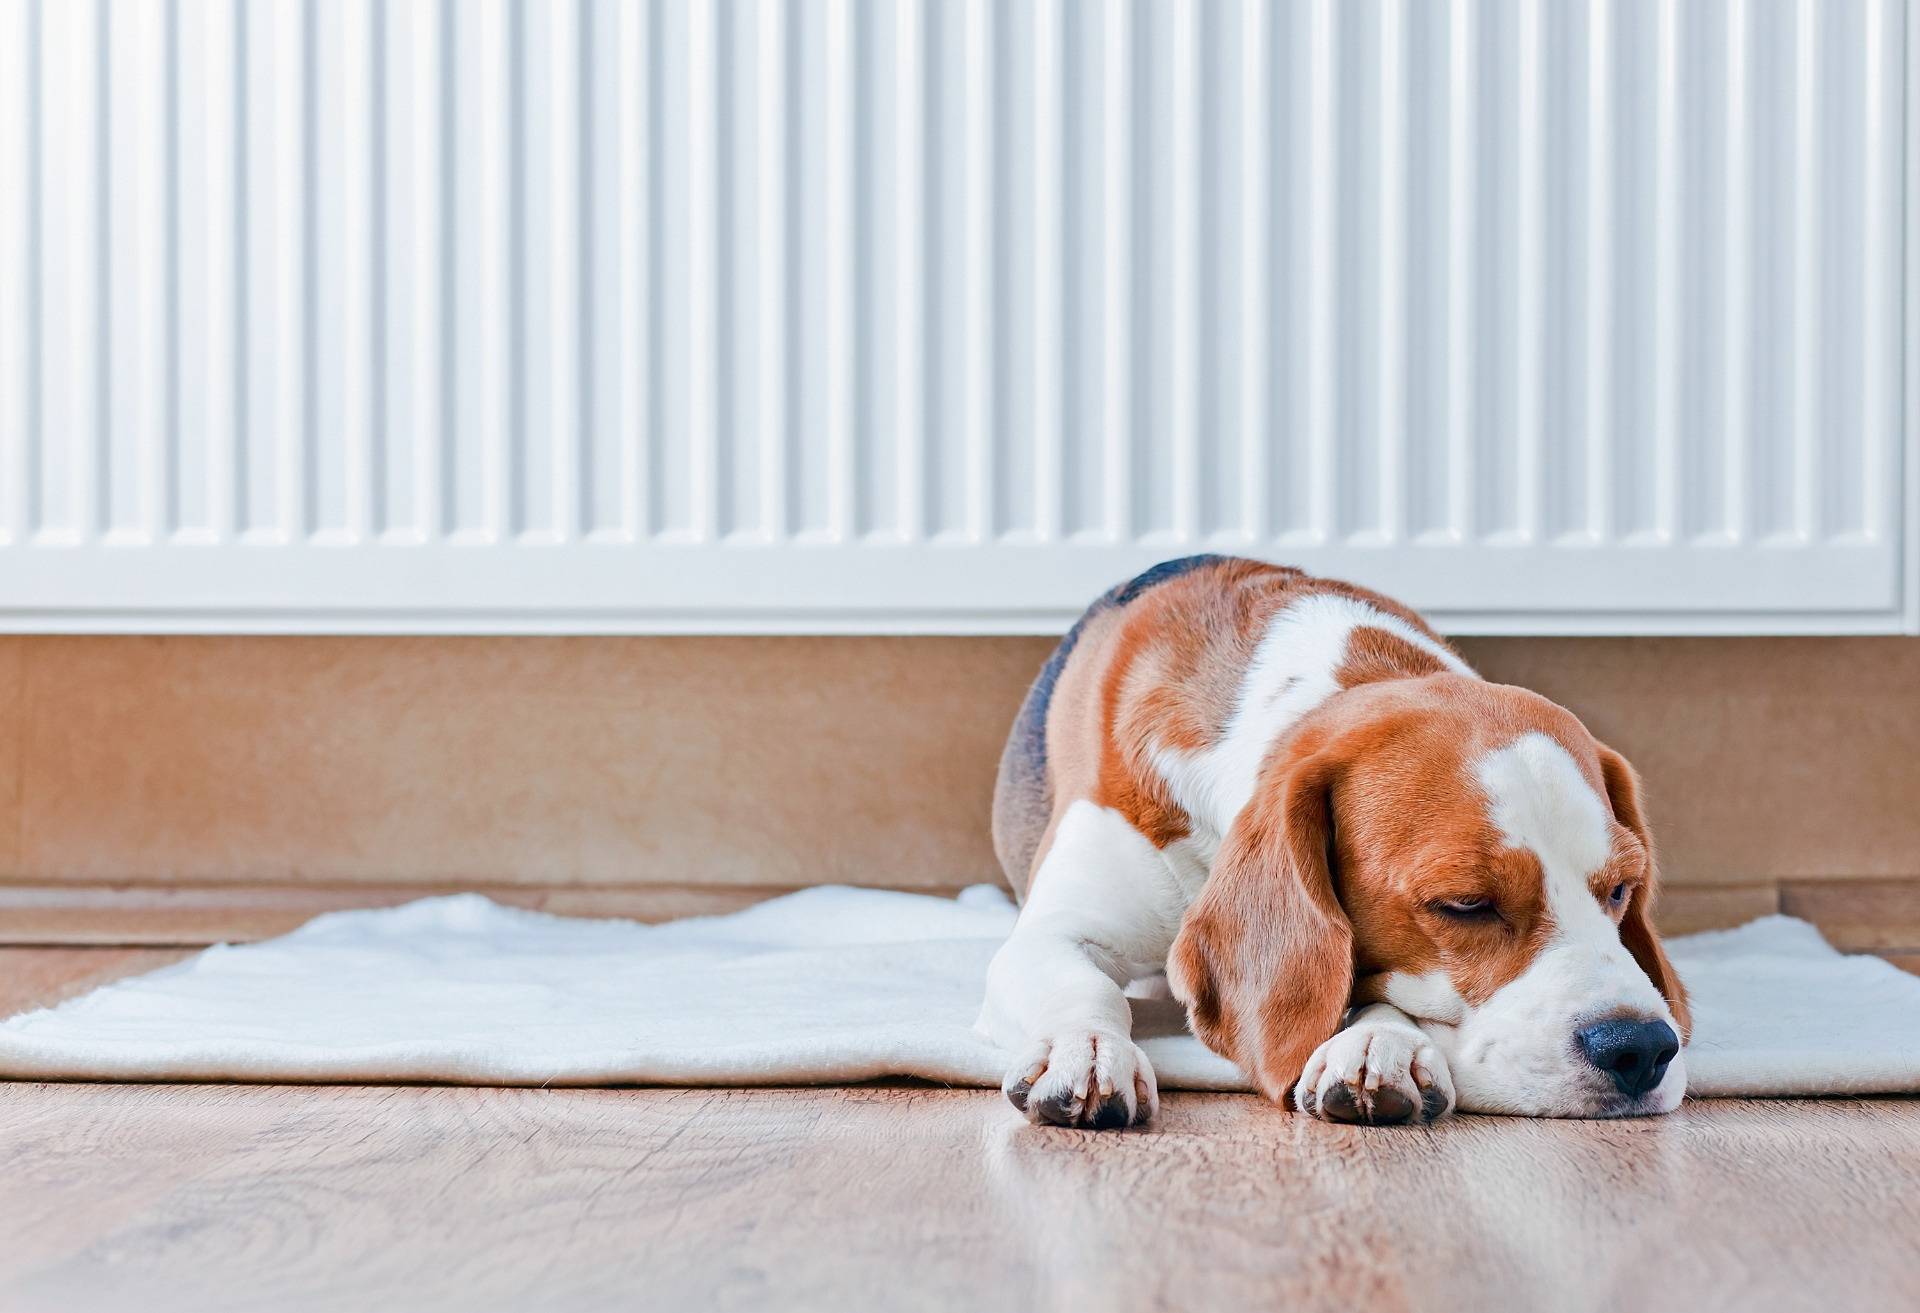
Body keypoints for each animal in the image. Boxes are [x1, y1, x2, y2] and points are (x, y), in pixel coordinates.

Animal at [983, 552, 1689, 1128]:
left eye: (1622, 889)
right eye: (1465, 905)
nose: (1642, 1049)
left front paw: (1380, 1044)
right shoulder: (1053, 932)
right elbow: (1087, 987)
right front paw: (1086, 1051)